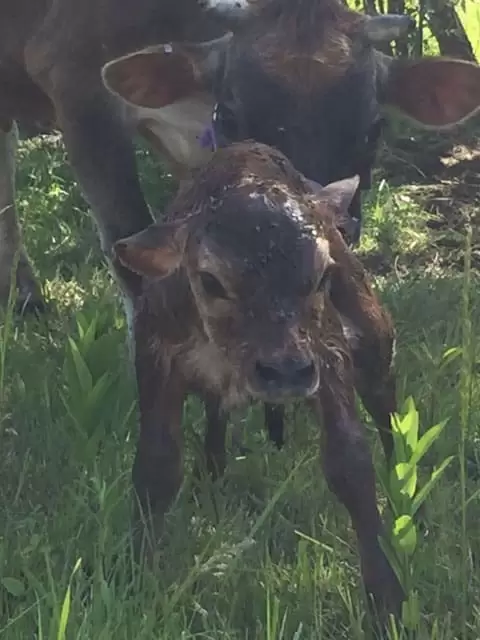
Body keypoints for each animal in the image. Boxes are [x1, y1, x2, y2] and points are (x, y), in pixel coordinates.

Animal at [111, 140, 402, 620]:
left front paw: (387, 598)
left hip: (374, 339)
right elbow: (156, 467)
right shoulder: (157, 355)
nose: (283, 372)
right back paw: (212, 477)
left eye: (321, 275)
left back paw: (400, 478)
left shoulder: (326, 354)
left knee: (387, 411)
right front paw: (138, 574)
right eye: (210, 280)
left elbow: (351, 464)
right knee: (215, 421)